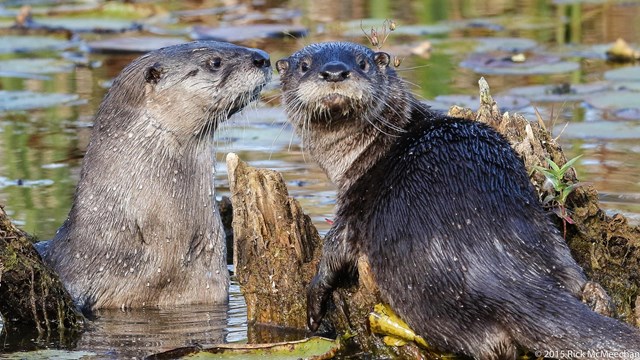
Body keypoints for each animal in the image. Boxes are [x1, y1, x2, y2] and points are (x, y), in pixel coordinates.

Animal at [276, 41, 640, 358]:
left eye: (362, 63)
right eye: (305, 66)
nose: (335, 72)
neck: (368, 150)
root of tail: (497, 263)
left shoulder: (355, 203)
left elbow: (333, 252)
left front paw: (314, 305)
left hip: (426, 290)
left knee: (490, 342)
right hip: (545, 235)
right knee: (581, 283)